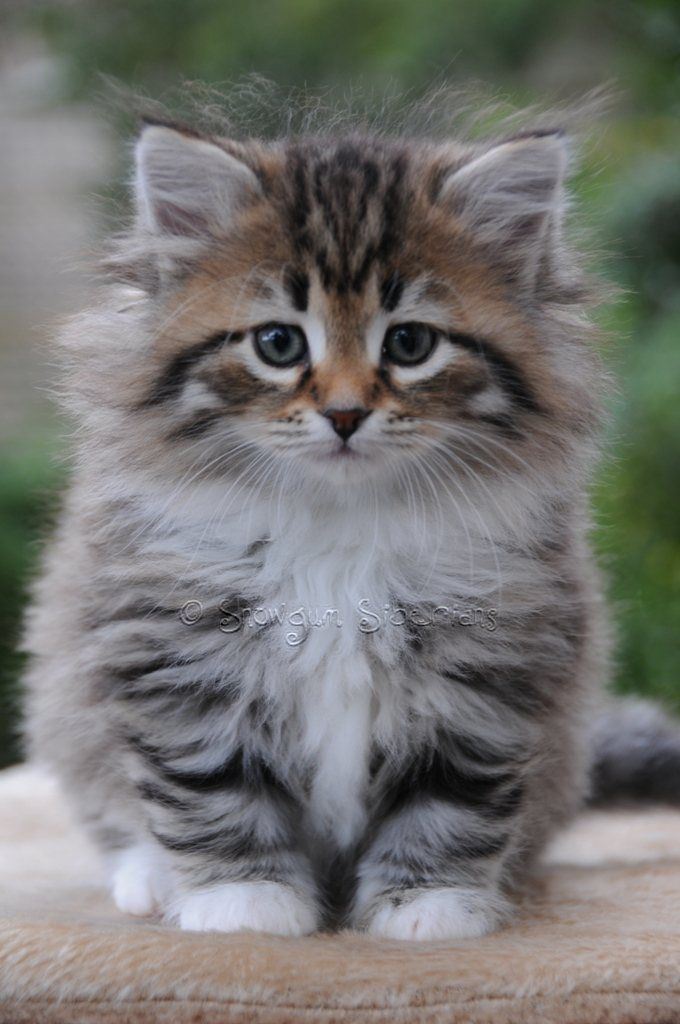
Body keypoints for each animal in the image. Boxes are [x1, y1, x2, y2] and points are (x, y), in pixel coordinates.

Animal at [22, 110, 680, 937]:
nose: (343, 414)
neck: (337, 527)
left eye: (409, 343)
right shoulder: (175, 649)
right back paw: (150, 877)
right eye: (278, 343)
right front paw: (244, 902)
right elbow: (211, 784)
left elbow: (450, 795)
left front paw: (430, 907)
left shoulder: (490, 659)